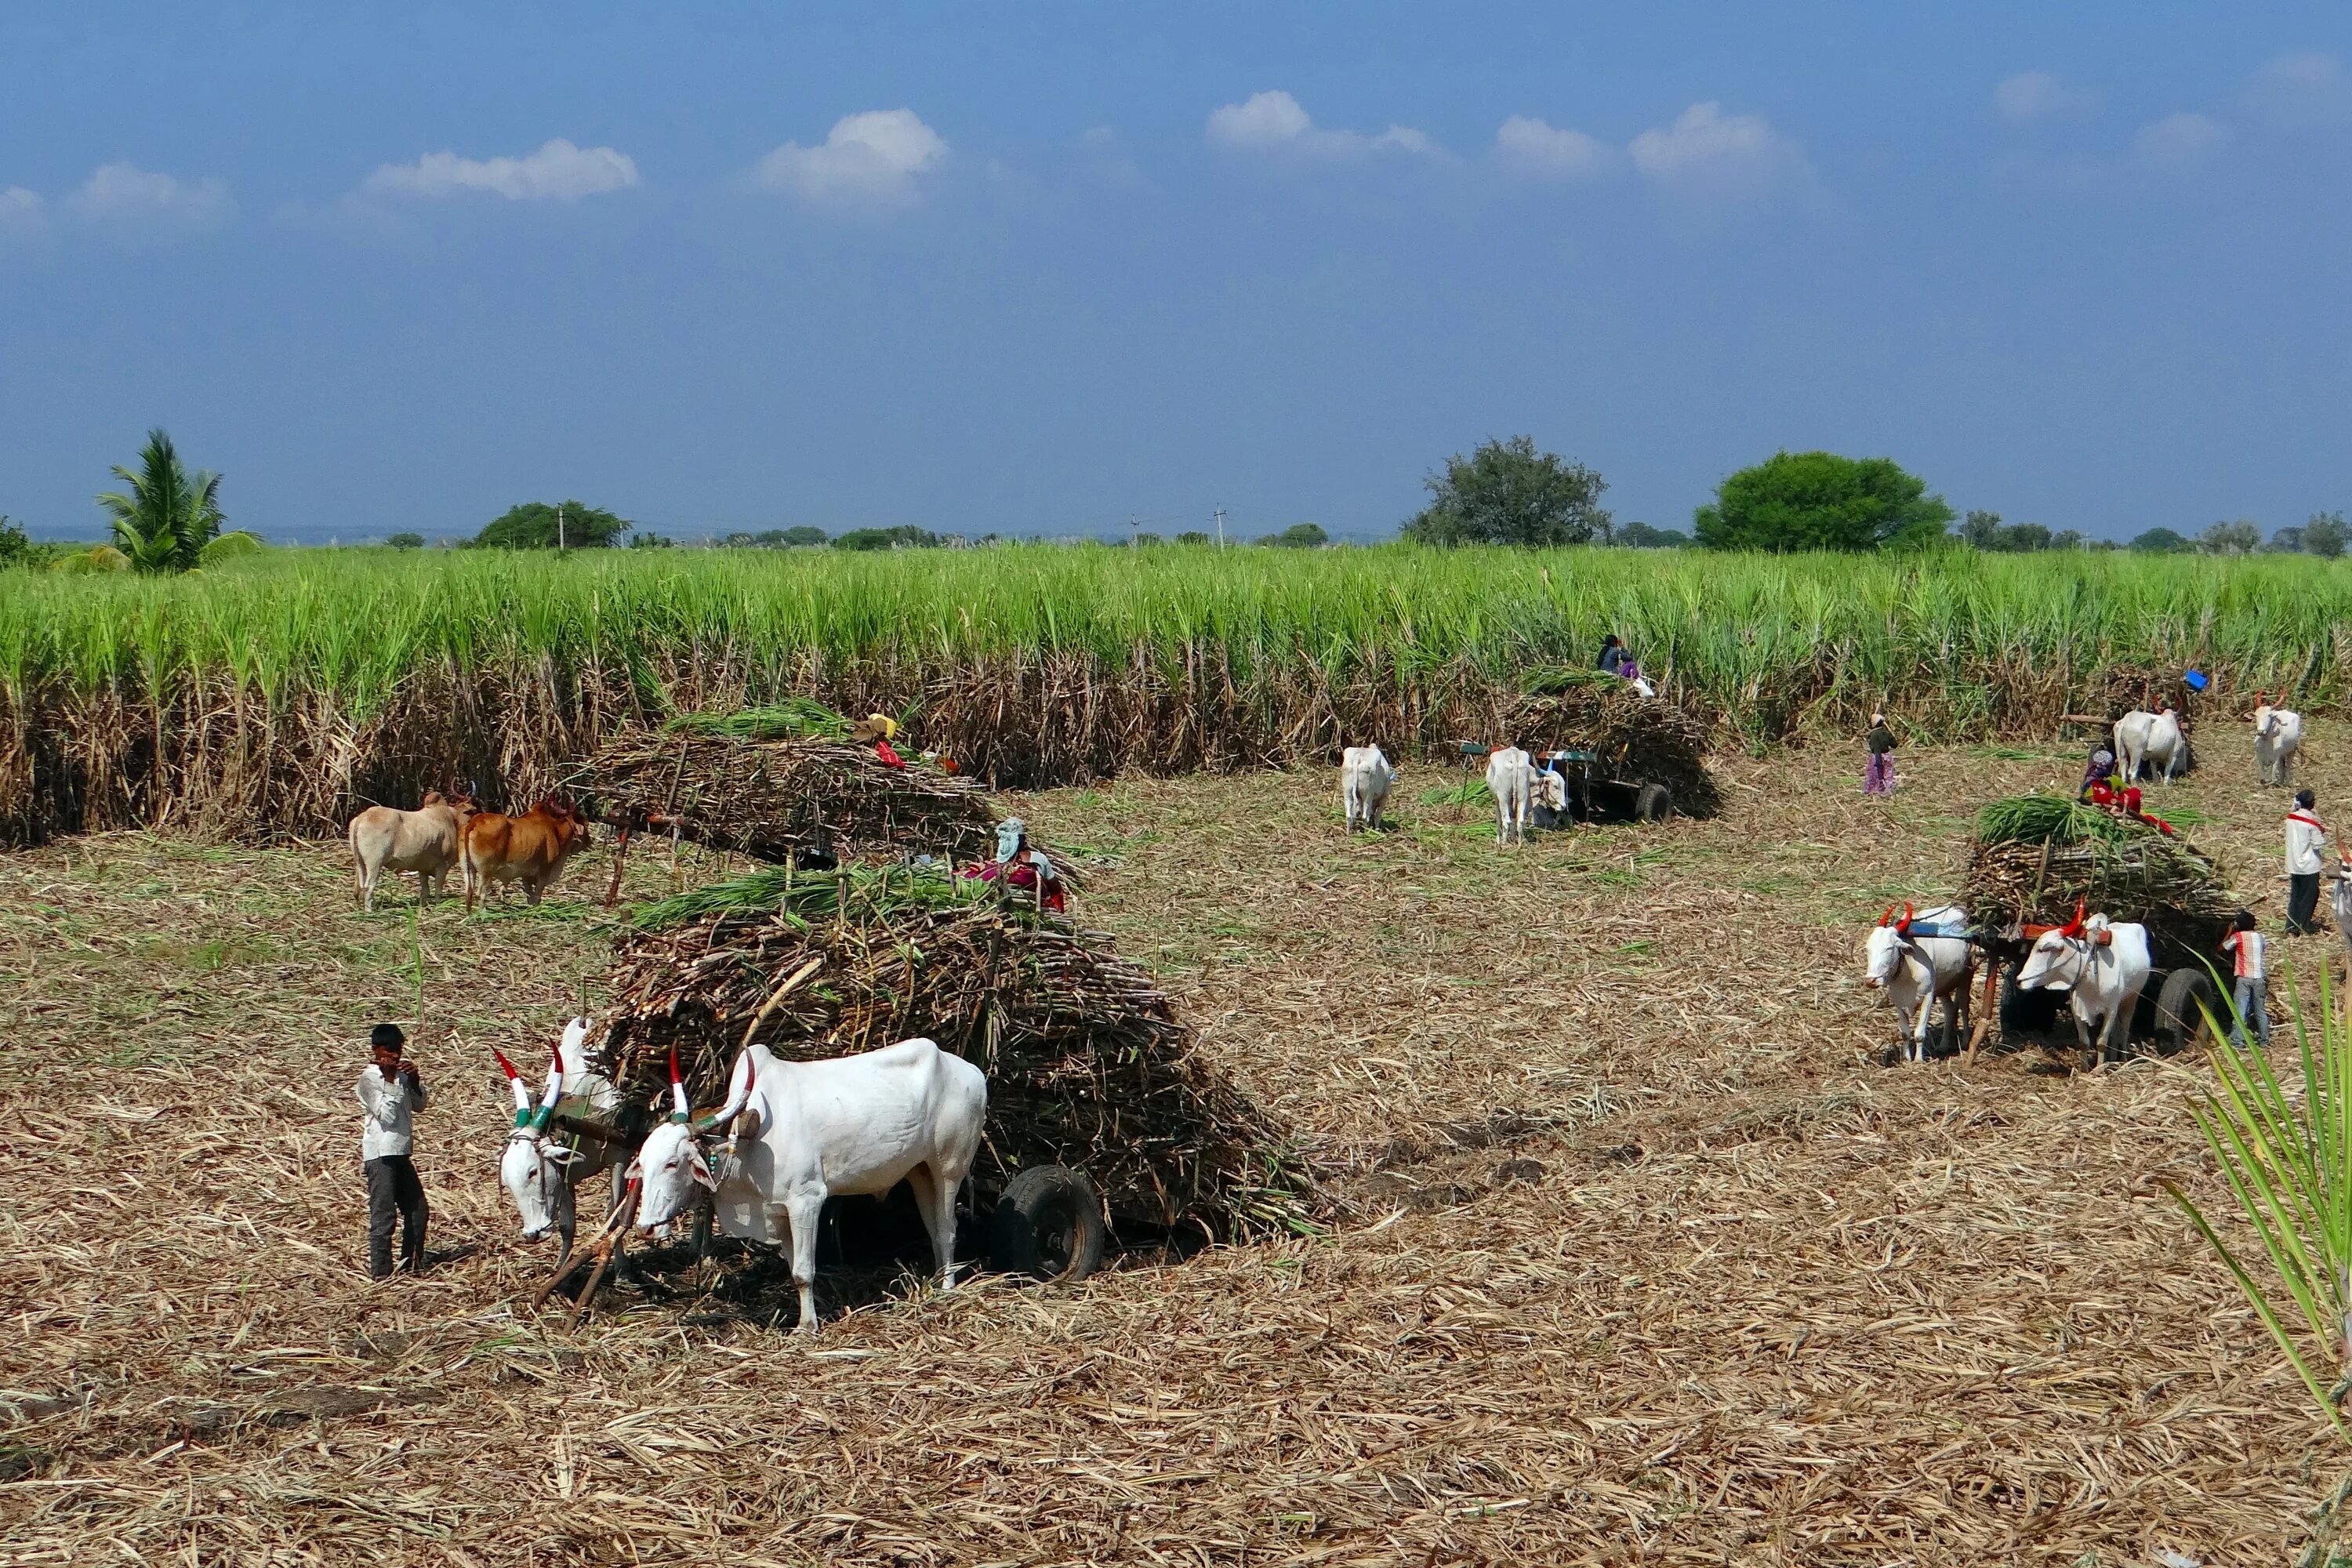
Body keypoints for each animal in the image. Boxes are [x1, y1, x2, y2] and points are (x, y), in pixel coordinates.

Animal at [346, 789, 475, 912]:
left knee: (361, 886)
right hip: (374, 863)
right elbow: (438, 890)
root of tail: (363, 816)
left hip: (359, 862)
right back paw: (369, 912)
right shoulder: (442, 865)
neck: (453, 820)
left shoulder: (423, 868)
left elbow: (425, 891)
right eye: (473, 810)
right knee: (369, 887)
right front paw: (439, 907)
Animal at [456, 804, 588, 912]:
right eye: (585, 824)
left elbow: (530, 896)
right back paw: (484, 914)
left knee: (469, 892)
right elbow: (537, 896)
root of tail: (475, 821)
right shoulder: (545, 871)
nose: (589, 842)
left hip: (467, 869)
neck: (556, 831)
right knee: (481, 894)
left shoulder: (526, 875)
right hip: (486, 872)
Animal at [630, 1044, 988, 1335]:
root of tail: (971, 1071)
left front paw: (807, 1327)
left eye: (672, 1164)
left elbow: (804, 1271)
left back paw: (947, 1287)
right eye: (643, 1163)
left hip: (949, 1167)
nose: (645, 1227)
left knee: (948, 1228)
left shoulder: (806, 1201)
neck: (747, 1145)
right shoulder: (779, 1213)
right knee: (933, 1226)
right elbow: (793, 1268)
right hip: (919, 1171)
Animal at [1863, 907, 1976, 1067]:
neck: (1908, 967)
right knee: (1949, 1010)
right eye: (1868, 949)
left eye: (1889, 948)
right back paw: (1943, 1045)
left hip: (1966, 975)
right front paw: (1906, 1058)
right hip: (1942, 986)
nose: (1871, 980)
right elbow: (1905, 1033)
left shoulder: (1928, 996)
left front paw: (1918, 1060)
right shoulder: (1898, 1000)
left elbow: (1919, 1034)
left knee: (1964, 1006)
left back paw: (1966, 1041)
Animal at [2013, 902, 2154, 1072]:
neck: (2091, 975)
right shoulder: (2076, 1009)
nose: (2019, 981)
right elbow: (2084, 1041)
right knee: (2116, 1032)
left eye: (2043, 949)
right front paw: (2085, 1070)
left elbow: (2101, 1042)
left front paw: (2099, 1070)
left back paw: (2123, 1060)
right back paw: (2113, 1059)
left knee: (2124, 1029)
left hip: (2132, 997)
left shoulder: (2111, 1008)